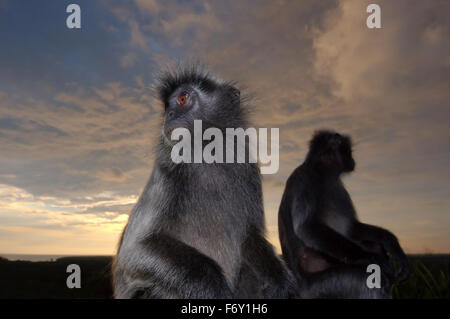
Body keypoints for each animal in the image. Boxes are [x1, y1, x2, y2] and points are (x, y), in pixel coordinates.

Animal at [112, 65, 298, 300]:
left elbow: (250, 235)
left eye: (182, 98)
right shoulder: (168, 173)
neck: (206, 154)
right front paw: (216, 290)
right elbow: (135, 250)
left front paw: (280, 281)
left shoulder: (248, 171)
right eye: (167, 107)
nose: (169, 115)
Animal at [278, 131, 412, 300]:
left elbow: (351, 228)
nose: (353, 160)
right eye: (348, 152)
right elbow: (307, 227)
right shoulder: (305, 179)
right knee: (371, 280)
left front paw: (390, 242)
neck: (323, 174)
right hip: (321, 286)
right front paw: (374, 259)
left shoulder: (338, 188)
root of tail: (299, 289)